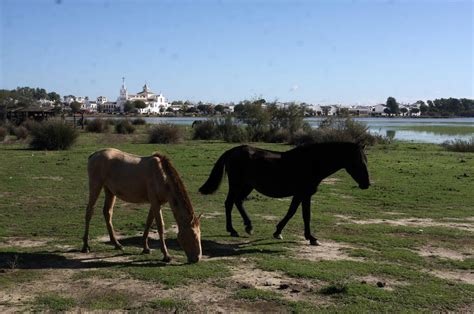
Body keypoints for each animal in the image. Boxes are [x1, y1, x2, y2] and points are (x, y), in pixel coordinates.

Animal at [198, 142, 368, 245]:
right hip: (237, 184)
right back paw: (233, 230)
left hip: (247, 186)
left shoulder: (300, 194)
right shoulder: (304, 194)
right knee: (229, 203)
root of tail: (231, 151)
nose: (367, 184)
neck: (311, 162)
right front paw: (311, 238)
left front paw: (278, 232)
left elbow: (292, 212)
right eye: (358, 161)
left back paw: (248, 227)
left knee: (237, 202)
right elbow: (304, 215)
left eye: (365, 160)